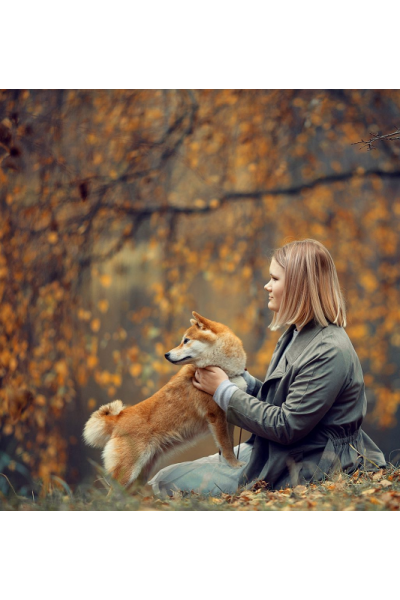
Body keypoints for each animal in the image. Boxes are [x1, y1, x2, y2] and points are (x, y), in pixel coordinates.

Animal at [83, 312, 247, 490]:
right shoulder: (216, 416)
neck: (224, 370)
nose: (166, 354)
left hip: (142, 473)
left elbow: (228, 444)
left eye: (186, 340)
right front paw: (234, 465)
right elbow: (226, 446)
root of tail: (118, 418)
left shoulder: (226, 418)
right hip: (128, 472)